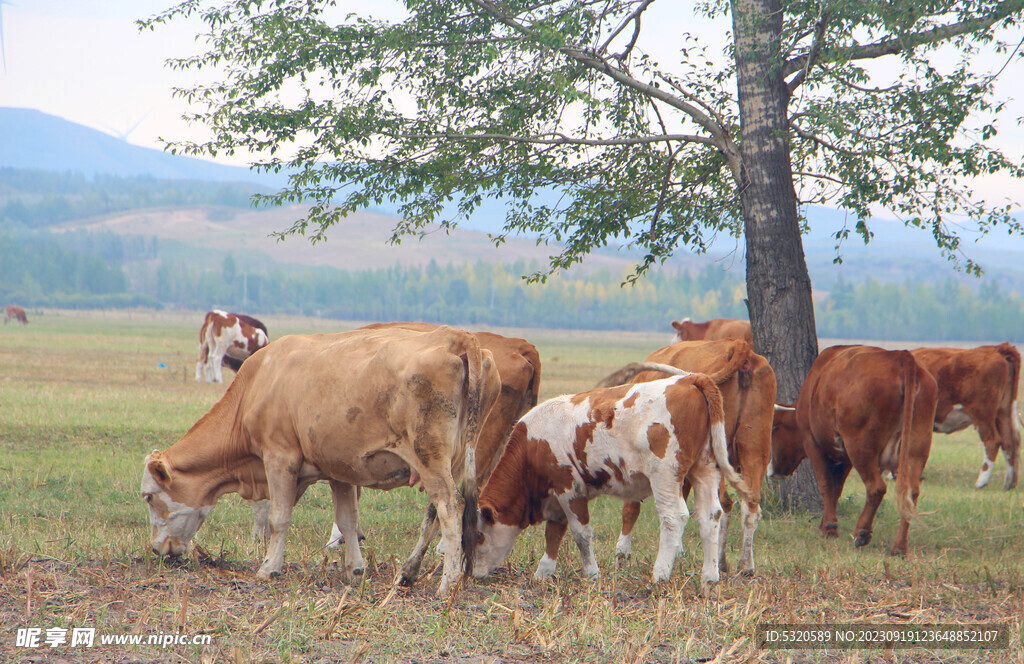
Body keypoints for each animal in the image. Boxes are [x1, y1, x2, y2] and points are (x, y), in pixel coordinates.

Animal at [139, 325, 499, 598]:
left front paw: (269, 567)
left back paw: (447, 584)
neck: (261, 382)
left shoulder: (279, 457)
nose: (156, 549)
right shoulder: (340, 469)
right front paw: (355, 568)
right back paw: (409, 572)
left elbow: (278, 518)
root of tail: (456, 337)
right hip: (456, 458)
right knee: (434, 513)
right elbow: (348, 520)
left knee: (450, 507)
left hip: (430, 458)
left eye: (149, 497)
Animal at [475, 370, 757, 594]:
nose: (474, 575)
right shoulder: (557, 495)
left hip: (665, 474)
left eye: (478, 535)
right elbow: (554, 532)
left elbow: (580, 533)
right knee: (710, 516)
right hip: (705, 467)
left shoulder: (568, 487)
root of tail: (688, 379)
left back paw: (660, 575)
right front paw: (544, 572)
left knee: (673, 517)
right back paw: (709, 579)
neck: (532, 445)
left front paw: (591, 573)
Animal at [598, 338, 774, 573]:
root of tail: (738, 345)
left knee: (723, 503)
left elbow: (631, 506)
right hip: (755, 446)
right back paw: (743, 565)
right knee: (749, 504)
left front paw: (622, 554)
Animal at [909, 344, 1019, 489]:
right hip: (1003, 412)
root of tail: (995, 348)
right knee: (1009, 442)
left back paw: (981, 482)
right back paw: (1009, 483)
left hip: (983, 415)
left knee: (992, 441)